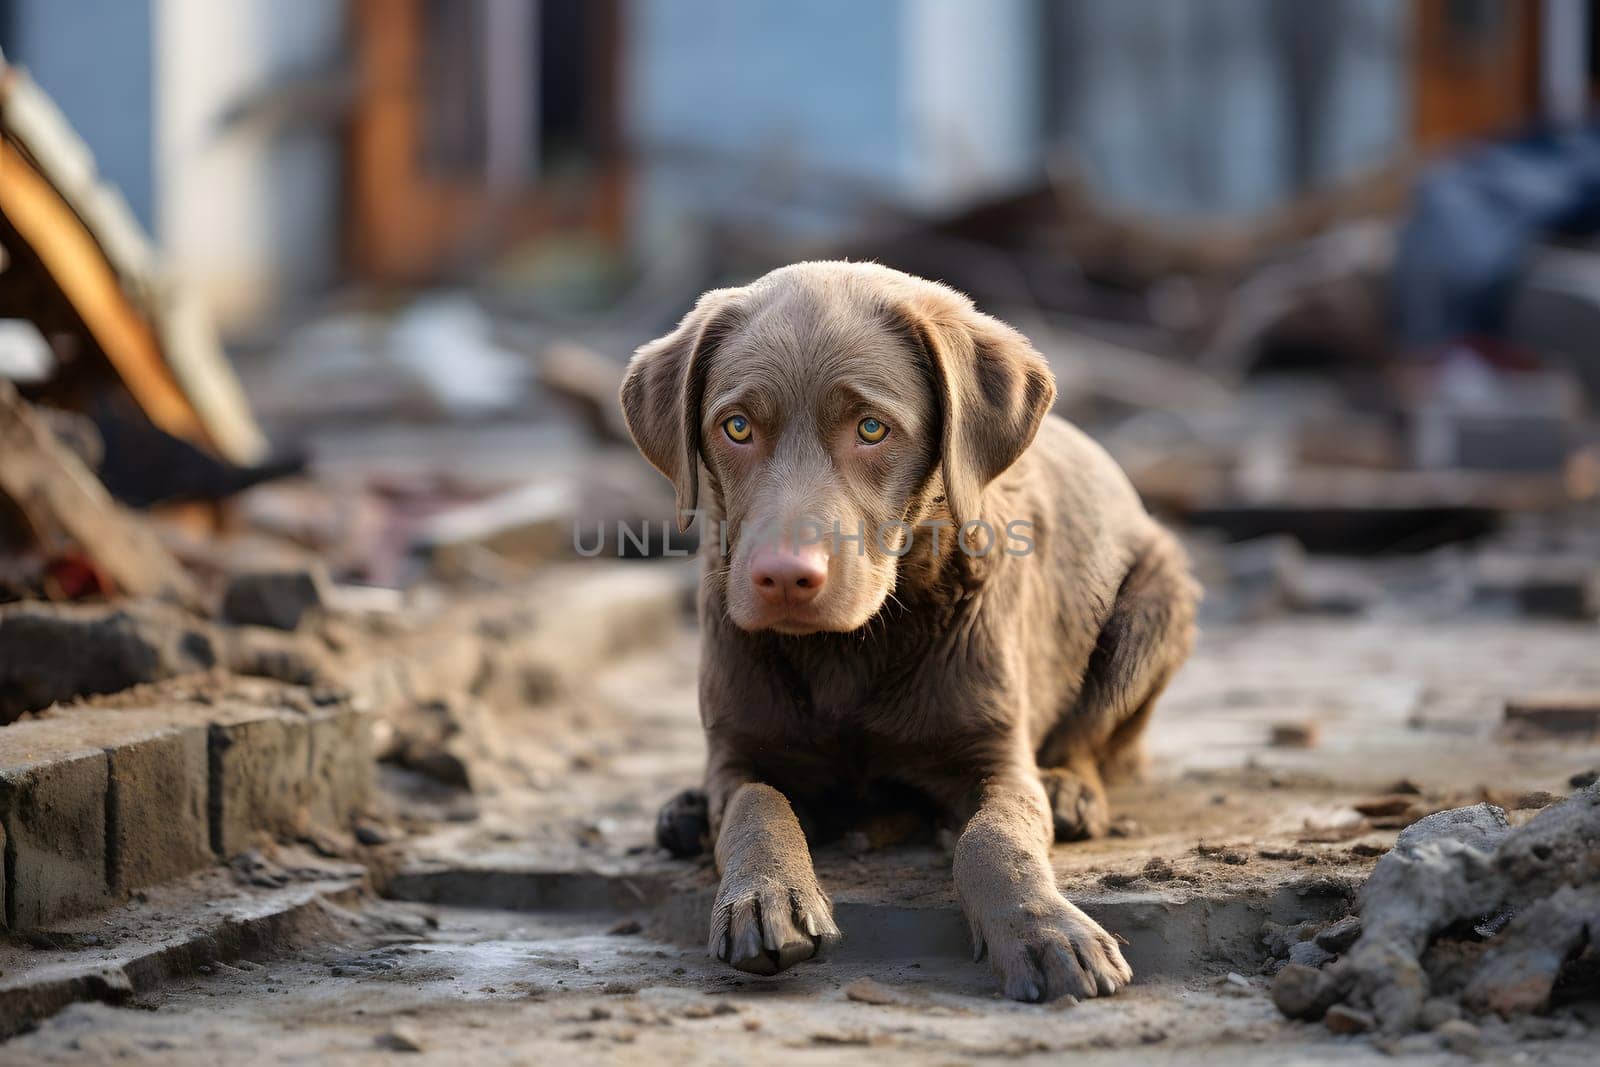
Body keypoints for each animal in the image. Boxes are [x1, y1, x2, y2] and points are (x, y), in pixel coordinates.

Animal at [617, 260, 1196, 1004]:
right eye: (736, 426)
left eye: (871, 428)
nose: (784, 577)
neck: (848, 650)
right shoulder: (737, 750)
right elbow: (755, 803)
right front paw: (765, 896)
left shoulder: (996, 755)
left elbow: (994, 840)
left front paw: (1045, 930)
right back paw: (684, 813)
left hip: (1155, 604)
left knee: (1106, 742)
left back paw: (1071, 791)